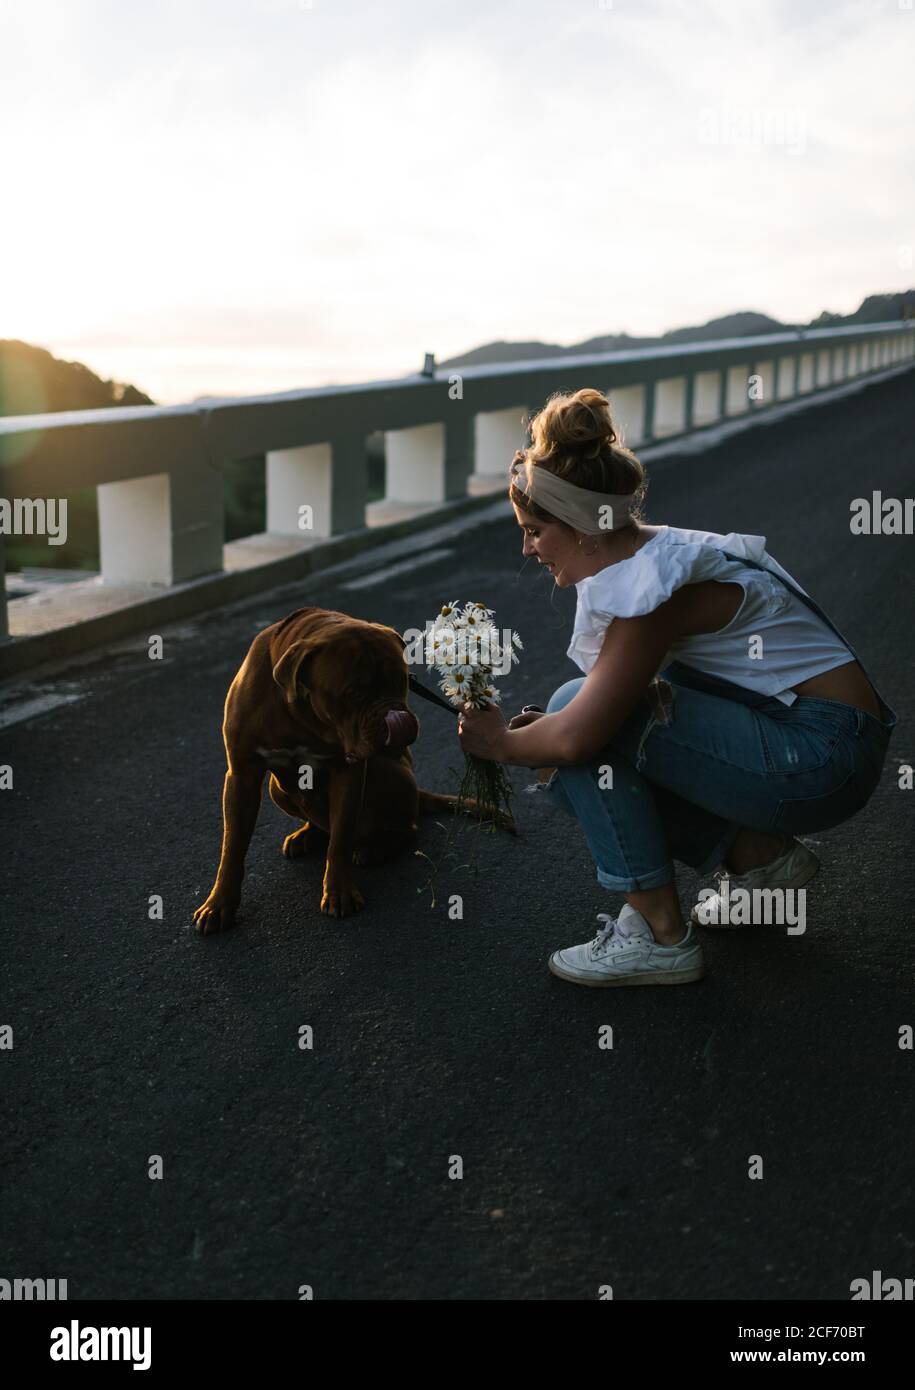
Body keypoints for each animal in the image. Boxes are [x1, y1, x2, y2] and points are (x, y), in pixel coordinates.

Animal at [194, 606, 511, 934]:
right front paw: (219, 904)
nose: (395, 716)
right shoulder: (242, 776)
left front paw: (339, 891)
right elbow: (232, 847)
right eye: (354, 694)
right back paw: (308, 835)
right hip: (275, 790)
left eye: (402, 680)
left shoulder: (349, 772)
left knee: (401, 828)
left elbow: (341, 838)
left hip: (387, 773)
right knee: (320, 822)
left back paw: (375, 848)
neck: (300, 712)